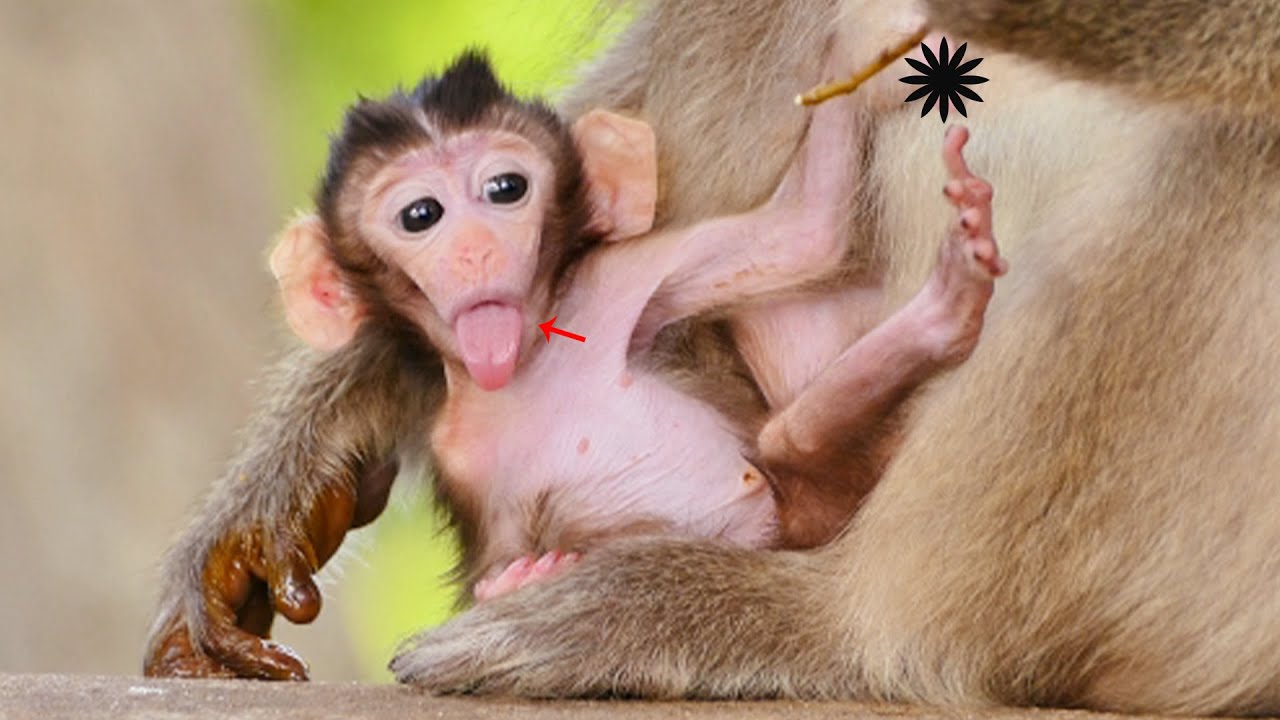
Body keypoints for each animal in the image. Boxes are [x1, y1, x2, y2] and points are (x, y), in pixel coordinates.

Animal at [144, 40, 1007, 677]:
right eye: (420, 214)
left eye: (505, 187)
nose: (475, 244)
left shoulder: (625, 275)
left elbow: (810, 231)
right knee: (793, 441)